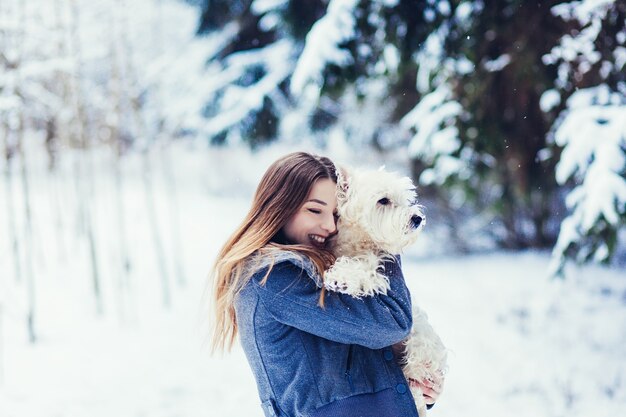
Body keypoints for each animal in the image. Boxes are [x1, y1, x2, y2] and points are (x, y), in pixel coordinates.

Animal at [324, 165, 446, 412]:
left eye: (406, 199)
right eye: (383, 200)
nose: (417, 218)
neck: (358, 242)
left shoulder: (379, 268)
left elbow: (365, 270)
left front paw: (341, 277)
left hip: (421, 345)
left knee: (418, 376)